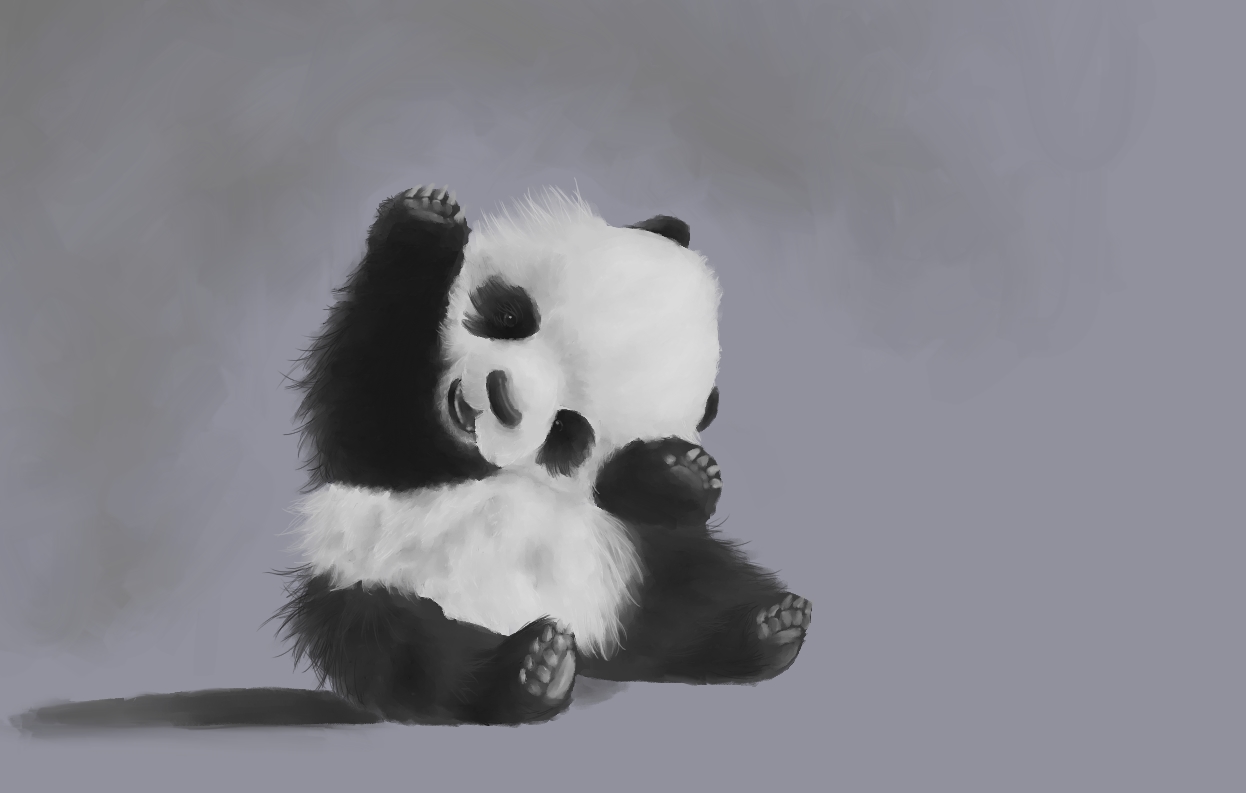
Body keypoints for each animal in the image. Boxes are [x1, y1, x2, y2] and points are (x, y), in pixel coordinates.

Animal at [274, 185, 813, 725]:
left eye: (565, 431)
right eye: (510, 316)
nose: (499, 396)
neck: (469, 459)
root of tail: (590, 643)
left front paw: (683, 474)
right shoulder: (378, 444)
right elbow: (368, 401)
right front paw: (425, 220)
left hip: (634, 567)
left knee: (692, 595)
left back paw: (768, 627)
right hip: (372, 582)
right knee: (407, 653)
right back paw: (529, 670)